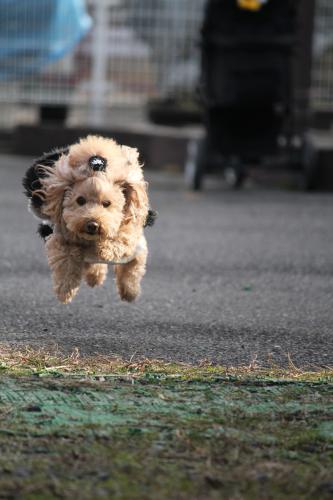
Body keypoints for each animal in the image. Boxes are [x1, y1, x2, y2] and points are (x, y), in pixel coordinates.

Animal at [23, 135, 156, 302]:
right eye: (80, 200)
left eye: (107, 203)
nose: (92, 224)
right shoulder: (62, 238)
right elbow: (66, 259)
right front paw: (65, 290)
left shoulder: (135, 245)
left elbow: (129, 264)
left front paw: (129, 293)